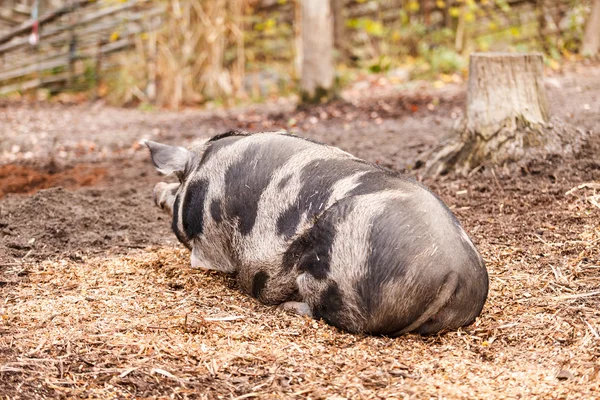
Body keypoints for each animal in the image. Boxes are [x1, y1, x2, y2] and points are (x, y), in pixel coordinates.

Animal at [144, 130, 488, 334]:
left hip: (338, 272)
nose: (156, 189)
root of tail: (456, 271)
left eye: (177, 183)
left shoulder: (209, 247)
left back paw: (287, 308)